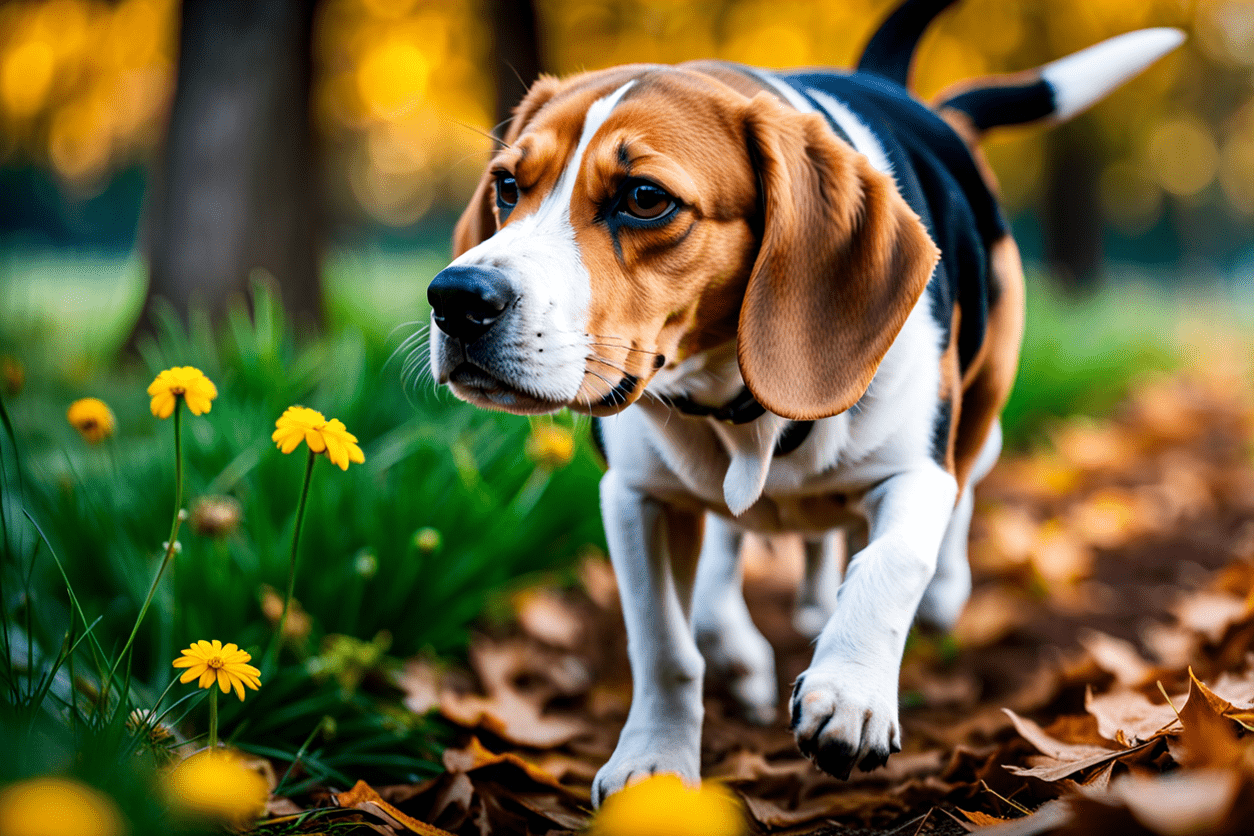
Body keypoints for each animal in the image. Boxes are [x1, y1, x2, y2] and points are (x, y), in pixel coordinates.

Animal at [423, 0, 1183, 807]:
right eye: (508, 185)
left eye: (645, 199)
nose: (456, 299)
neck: (737, 406)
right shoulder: (635, 497)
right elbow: (664, 643)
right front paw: (653, 763)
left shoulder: (917, 473)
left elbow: (891, 562)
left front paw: (850, 694)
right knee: (749, 561)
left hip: (983, 403)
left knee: (962, 486)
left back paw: (933, 593)